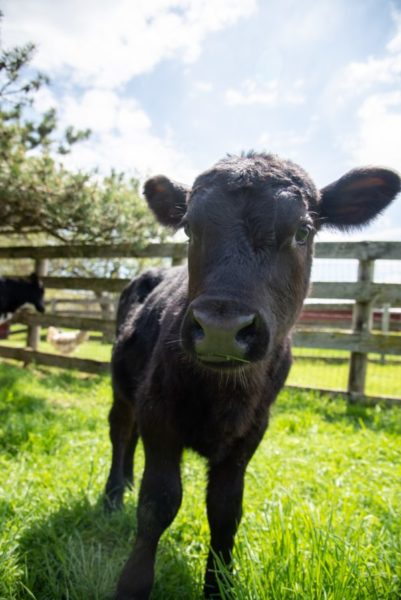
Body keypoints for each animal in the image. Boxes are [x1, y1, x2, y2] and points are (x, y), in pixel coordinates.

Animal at [104, 152, 398, 596]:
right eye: (189, 228)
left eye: (302, 230)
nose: (221, 328)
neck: (224, 395)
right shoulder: (159, 412)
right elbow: (158, 504)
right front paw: (133, 584)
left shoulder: (250, 434)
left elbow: (225, 513)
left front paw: (219, 586)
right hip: (122, 387)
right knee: (121, 431)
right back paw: (113, 494)